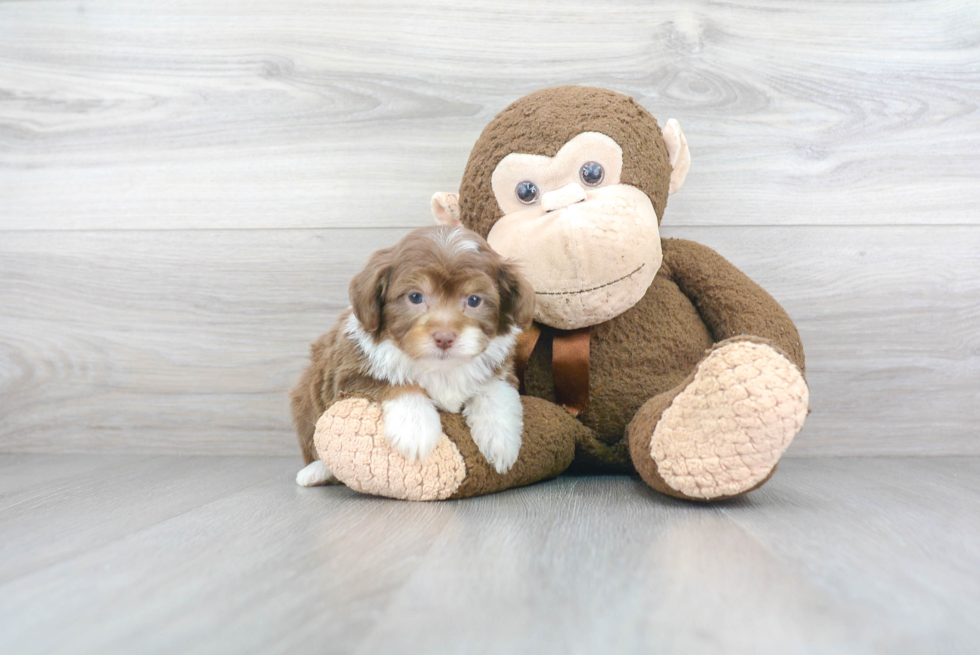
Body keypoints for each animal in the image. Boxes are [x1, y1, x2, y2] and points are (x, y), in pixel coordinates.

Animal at [290, 226, 536, 486]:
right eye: (416, 297)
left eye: (474, 300)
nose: (444, 338)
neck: (440, 368)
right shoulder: (347, 374)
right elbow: (397, 383)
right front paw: (416, 431)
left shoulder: (502, 368)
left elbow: (494, 389)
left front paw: (500, 440)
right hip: (304, 398)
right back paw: (314, 472)